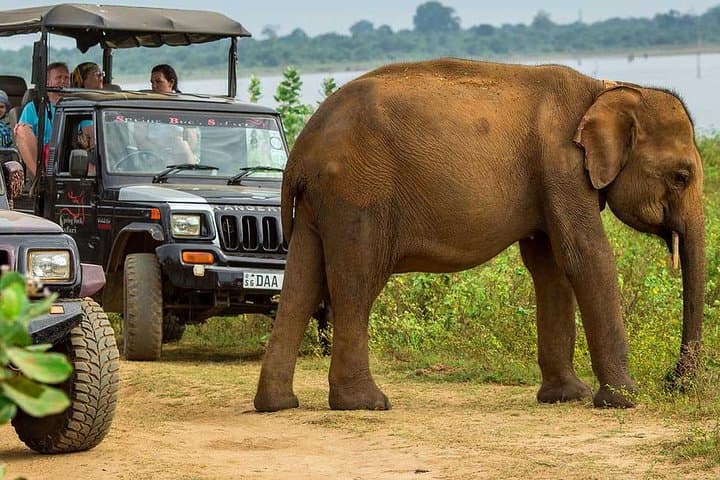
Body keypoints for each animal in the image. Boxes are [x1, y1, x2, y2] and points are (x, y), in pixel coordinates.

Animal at [254, 58, 705, 411]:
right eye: (681, 177)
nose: (675, 380)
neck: (606, 88)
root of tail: (300, 152)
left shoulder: (549, 178)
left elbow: (550, 267)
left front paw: (566, 396)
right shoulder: (562, 165)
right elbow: (586, 255)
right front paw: (624, 400)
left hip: (320, 203)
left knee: (301, 283)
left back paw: (278, 405)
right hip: (357, 194)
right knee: (357, 282)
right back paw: (366, 403)